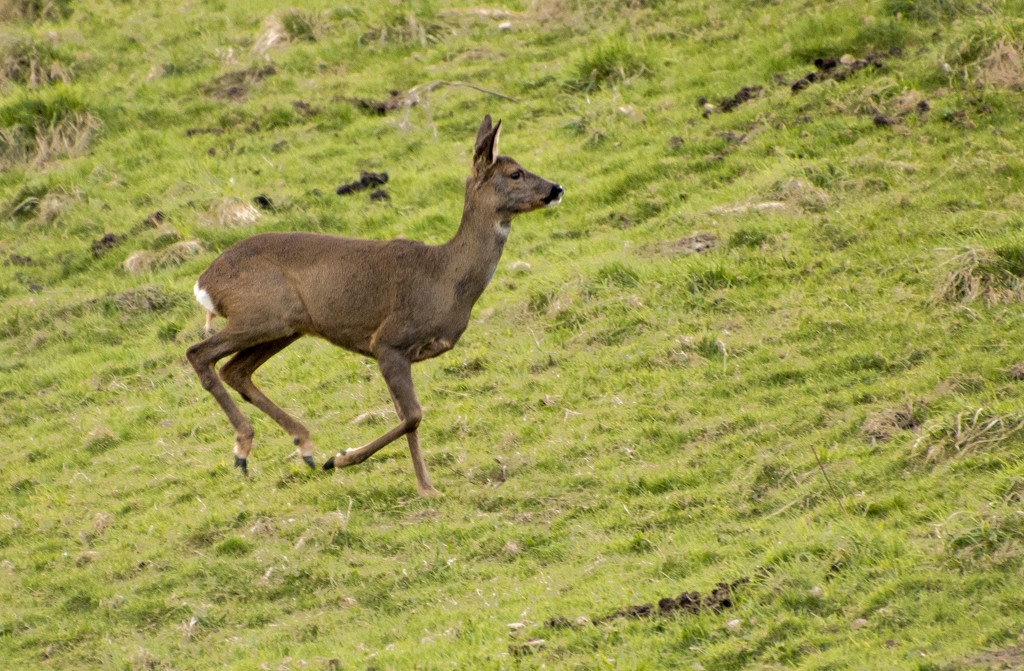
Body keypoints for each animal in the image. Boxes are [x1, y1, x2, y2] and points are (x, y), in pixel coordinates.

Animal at [188, 115, 565, 495]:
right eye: (515, 173)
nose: (556, 189)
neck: (445, 277)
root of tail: (204, 283)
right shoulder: (389, 341)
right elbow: (413, 415)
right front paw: (341, 458)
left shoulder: (397, 352)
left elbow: (407, 417)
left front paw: (426, 488)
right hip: (262, 315)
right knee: (199, 353)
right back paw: (245, 448)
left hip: (286, 326)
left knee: (234, 369)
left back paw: (302, 448)